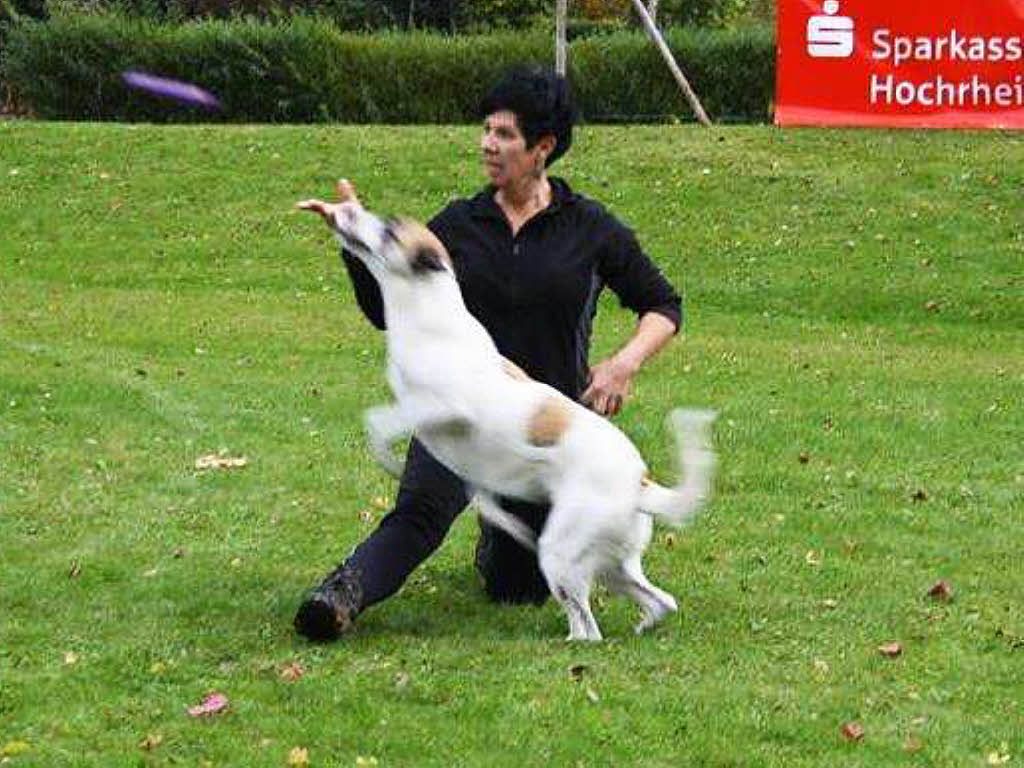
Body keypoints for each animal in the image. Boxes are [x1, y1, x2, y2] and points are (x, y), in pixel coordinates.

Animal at [294, 182, 712, 643]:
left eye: (389, 230)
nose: (345, 214)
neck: (427, 316)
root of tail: (641, 480)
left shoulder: (441, 409)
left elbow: (378, 425)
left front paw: (388, 461)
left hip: (561, 552)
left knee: (588, 628)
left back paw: (570, 643)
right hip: (611, 566)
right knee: (660, 601)